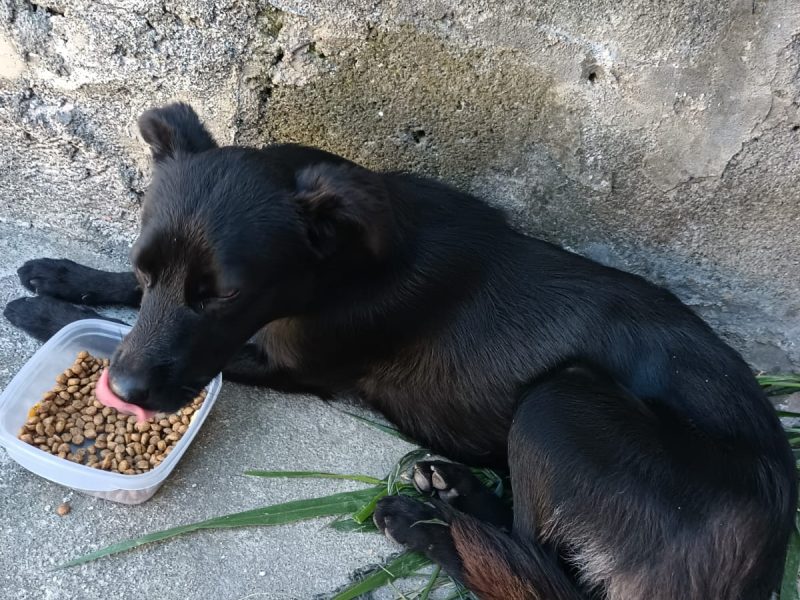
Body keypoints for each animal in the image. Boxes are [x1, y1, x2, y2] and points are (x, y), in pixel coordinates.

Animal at [4, 101, 792, 596]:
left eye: (224, 296)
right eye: (145, 266)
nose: (125, 391)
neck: (343, 257)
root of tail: (767, 550)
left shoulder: (285, 361)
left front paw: (47, 311)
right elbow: (129, 305)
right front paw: (61, 276)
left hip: (562, 400)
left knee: (536, 573)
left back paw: (424, 524)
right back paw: (455, 491)